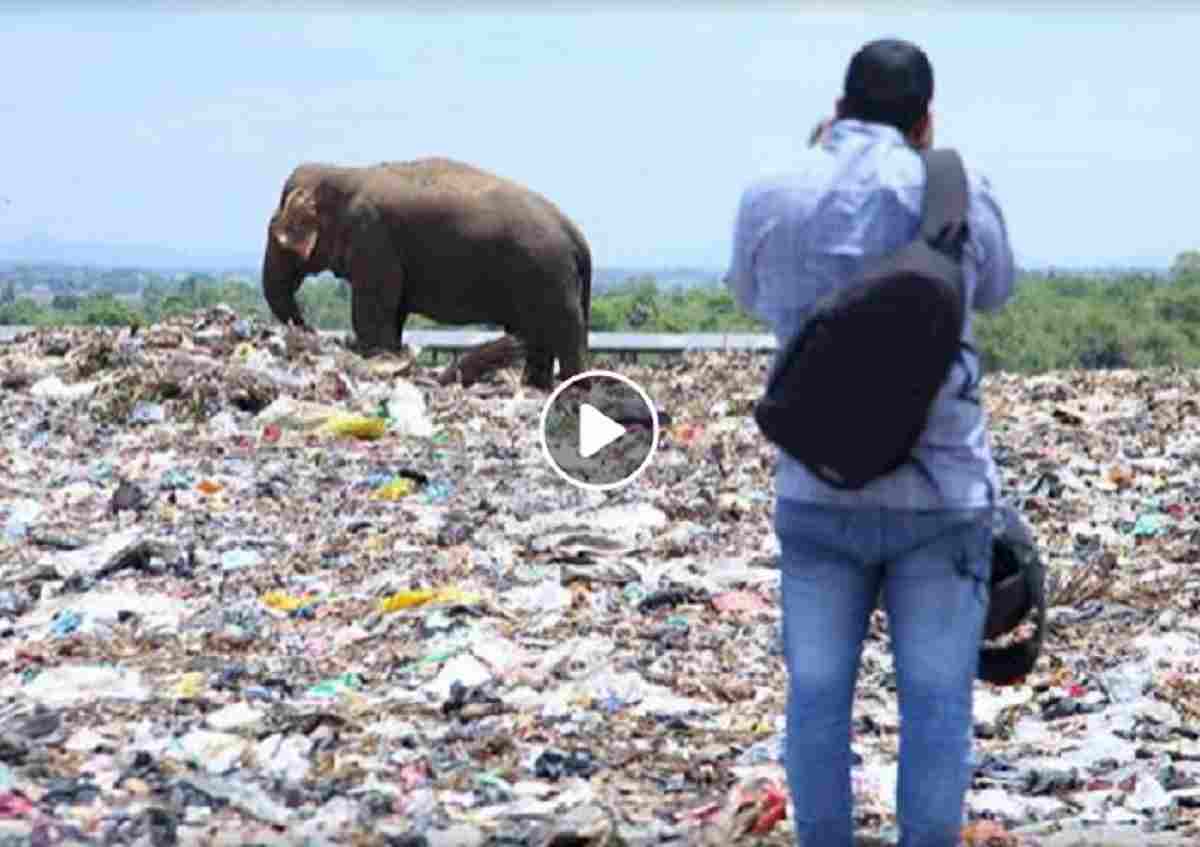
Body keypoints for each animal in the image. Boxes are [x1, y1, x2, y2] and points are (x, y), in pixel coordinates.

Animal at [261, 156, 592, 389]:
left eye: (275, 234)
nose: (307, 330)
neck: (342, 173)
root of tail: (576, 234)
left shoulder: (372, 238)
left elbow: (372, 314)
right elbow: (392, 314)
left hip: (549, 275)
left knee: (562, 328)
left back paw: (572, 390)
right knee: (536, 332)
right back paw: (535, 387)